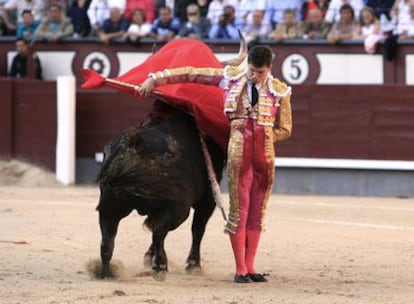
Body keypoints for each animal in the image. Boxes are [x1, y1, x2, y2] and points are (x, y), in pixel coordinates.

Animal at [96, 101, 226, 280]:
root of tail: (132, 144)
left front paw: (148, 257)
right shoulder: (207, 199)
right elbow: (197, 228)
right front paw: (193, 265)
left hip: (110, 204)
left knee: (107, 237)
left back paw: (106, 273)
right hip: (179, 207)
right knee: (159, 231)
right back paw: (160, 267)